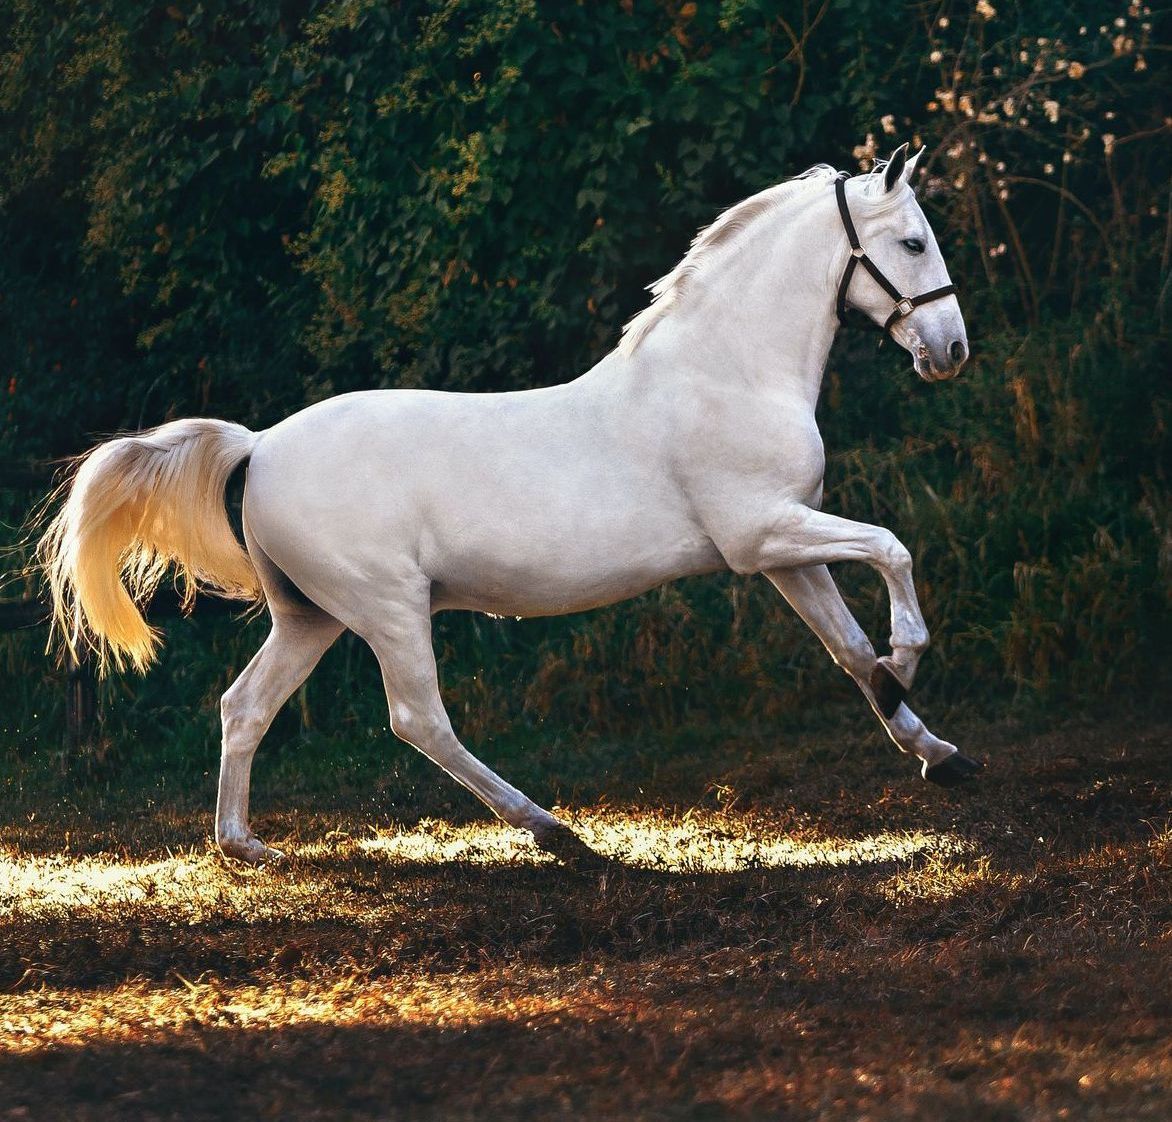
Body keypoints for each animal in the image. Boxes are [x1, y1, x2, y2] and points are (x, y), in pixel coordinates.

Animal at [40, 143, 981, 866]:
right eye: (911, 241)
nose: (951, 351)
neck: (727, 373)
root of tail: (262, 445)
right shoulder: (763, 536)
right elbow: (891, 550)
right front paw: (909, 660)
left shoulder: (785, 551)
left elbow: (849, 651)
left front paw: (936, 750)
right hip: (387, 607)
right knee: (418, 719)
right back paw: (554, 831)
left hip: (311, 616)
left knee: (245, 706)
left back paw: (246, 846)